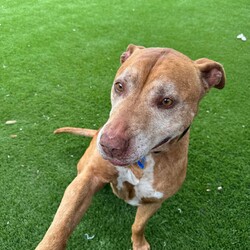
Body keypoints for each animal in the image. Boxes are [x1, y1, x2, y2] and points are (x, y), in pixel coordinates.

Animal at [36, 45, 226, 250]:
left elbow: (138, 225)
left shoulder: (154, 201)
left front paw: (139, 243)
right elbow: (61, 225)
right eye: (119, 86)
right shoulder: (86, 181)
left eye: (167, 101)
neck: (143, 162)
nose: (109, 145)